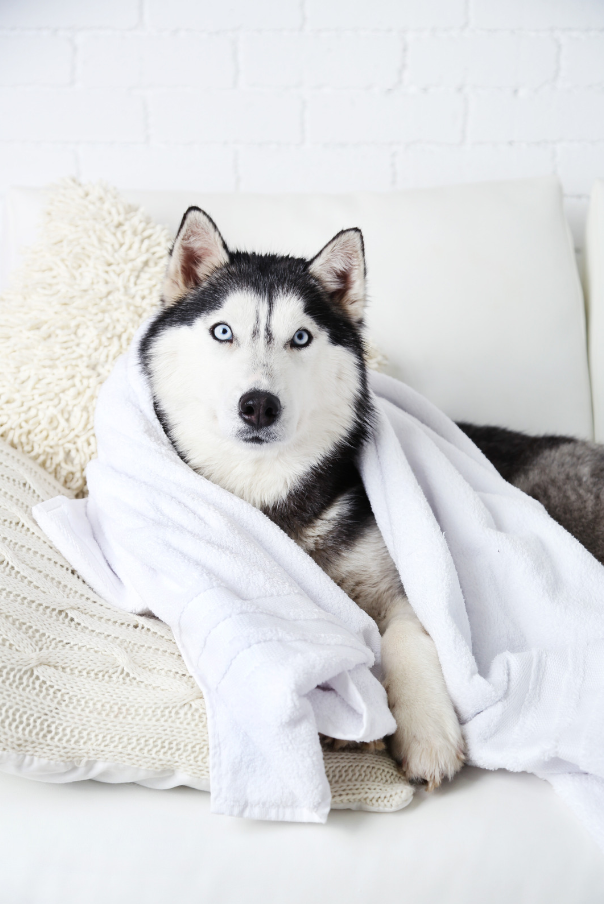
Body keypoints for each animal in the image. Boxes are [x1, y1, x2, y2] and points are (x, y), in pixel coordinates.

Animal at [142, 208, 604, 788]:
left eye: (301, 337)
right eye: (222, 331)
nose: (259, 405)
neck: (269, 491)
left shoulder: (399, 584)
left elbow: (412, 635)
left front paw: (426, 730)